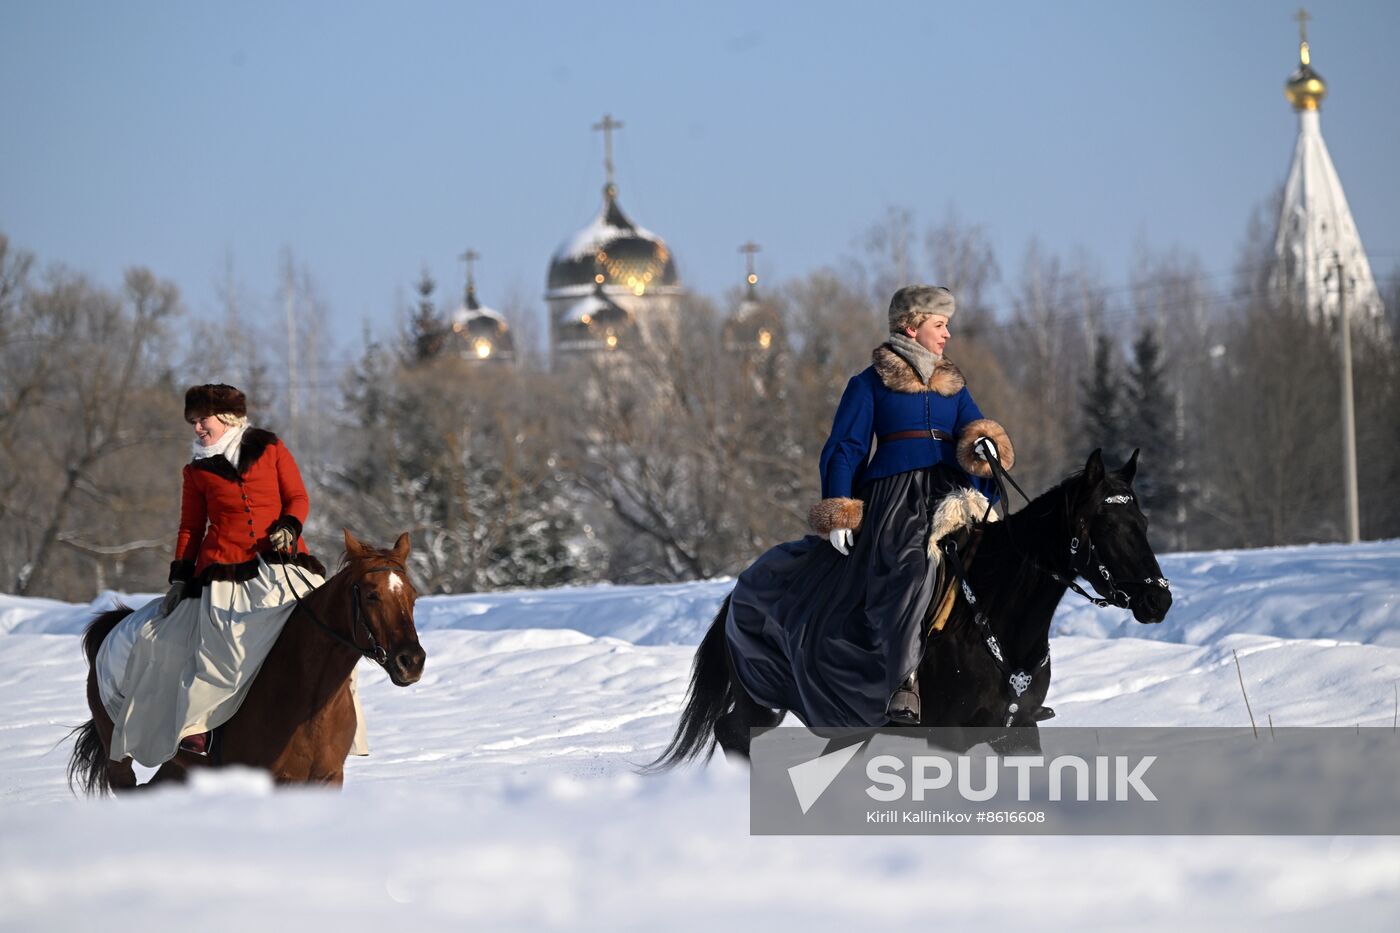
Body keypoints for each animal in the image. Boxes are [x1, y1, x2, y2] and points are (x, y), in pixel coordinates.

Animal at [68, 529, 422, 790]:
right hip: (119, 757)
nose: (412, 661)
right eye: (371, 594)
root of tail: (112, 625)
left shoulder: (328, 778)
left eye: (413, 596)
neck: (308, 696)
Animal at [646, 448, 1170, 767]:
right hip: (761, 698)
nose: (1158, 599)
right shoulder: (949, 736)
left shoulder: (1017, 730)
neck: (995, 615)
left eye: (1143, 521)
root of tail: (739, 592)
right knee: (732, 730)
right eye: (1105, 524)